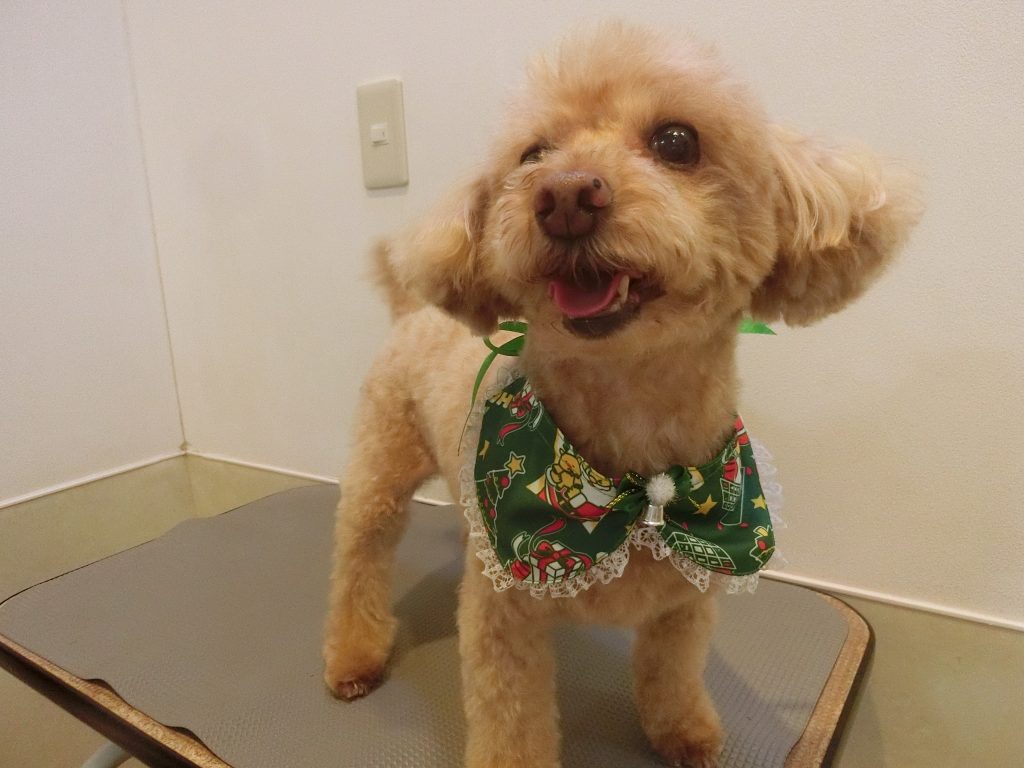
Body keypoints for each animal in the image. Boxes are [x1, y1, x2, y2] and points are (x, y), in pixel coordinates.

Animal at [323, 22, 919, 768]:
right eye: (534, 154)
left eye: (676, 141)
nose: (564, 195)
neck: (632, 462)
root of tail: (411, 309)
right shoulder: (504, 622)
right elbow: (511, 722)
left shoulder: (686, 597)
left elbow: (673, 673)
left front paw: (685, 734)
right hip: (381, 468)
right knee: (359, 560)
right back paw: (353, 654)